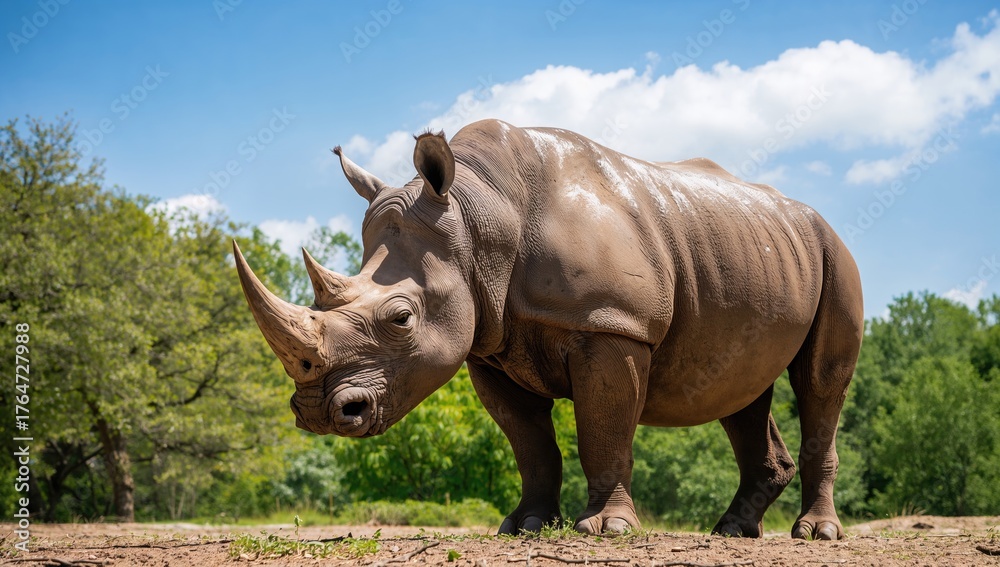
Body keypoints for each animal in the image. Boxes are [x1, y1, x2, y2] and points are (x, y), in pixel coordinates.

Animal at [233, 119, 863, 540]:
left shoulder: (613, 326)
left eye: (401, 318)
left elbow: (603, 430)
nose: (318, 412)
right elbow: (529, 442)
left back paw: (813, 535)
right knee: (740, 390)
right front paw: (524, 524)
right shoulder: (486, 346)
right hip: (755, 254)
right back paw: (732, 531)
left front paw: (605, 530)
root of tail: (809, 216)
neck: (478, 214)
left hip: (834, 252)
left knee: (819, 385)